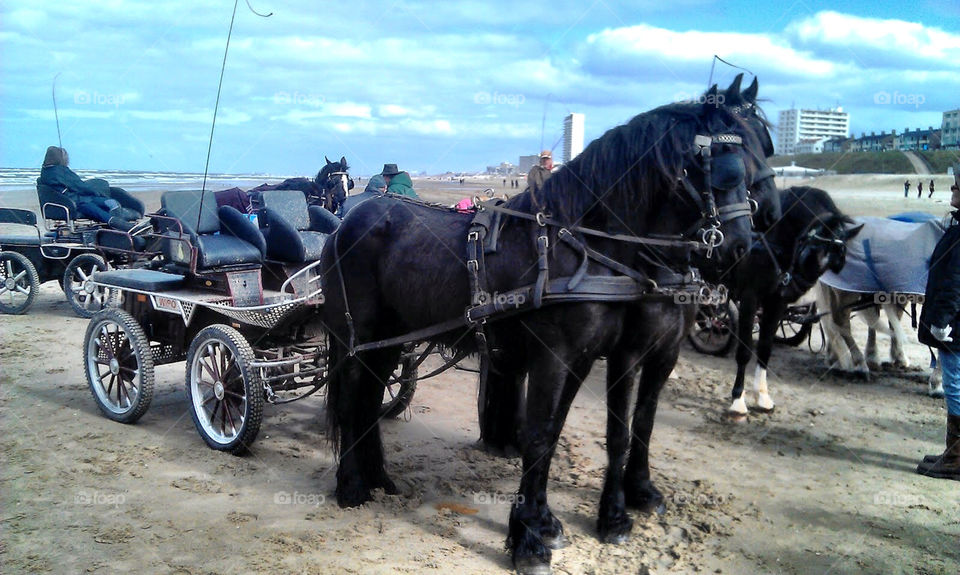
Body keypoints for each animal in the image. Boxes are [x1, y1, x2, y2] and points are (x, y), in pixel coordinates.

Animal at [322, 77, 772, 575]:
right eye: (713, 161)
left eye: (758, 151)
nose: (742, 247)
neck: (582, 246)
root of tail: (346, 224)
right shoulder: (563, 357)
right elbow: (543, 436)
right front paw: (530, 541)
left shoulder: (589, 358)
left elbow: (563, 433)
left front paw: (545, 522)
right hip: (356, 338)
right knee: (351, 402)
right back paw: (351, 487)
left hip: (387, 341)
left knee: (367, 402)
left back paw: (377, 477)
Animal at [724, 188, 868, 418]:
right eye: (811, 252)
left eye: (835, 263)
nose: (794, 288)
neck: (768, 241)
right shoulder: (749, 298)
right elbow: (745, 351)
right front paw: (738, 399)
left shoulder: (776, 303)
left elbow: (764, 349)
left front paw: (762, 396)